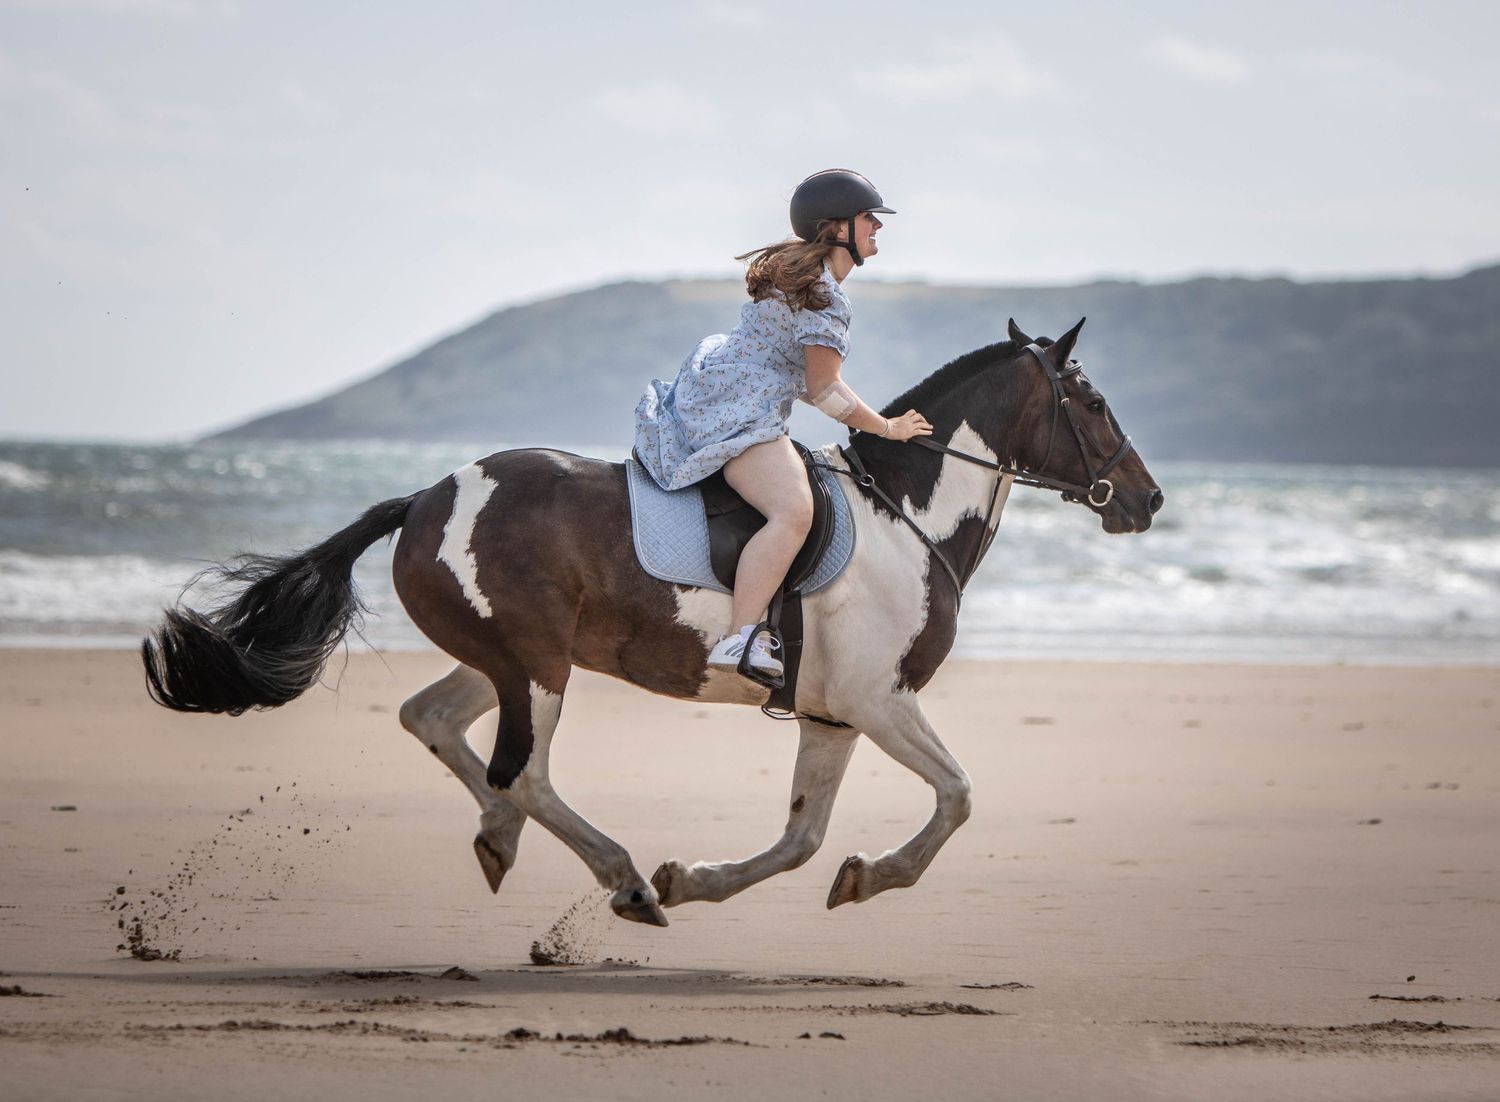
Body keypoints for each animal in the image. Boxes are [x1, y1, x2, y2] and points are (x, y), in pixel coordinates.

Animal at [142, 317, 1162, 928]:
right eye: (1094, 402)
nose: (1147, 499)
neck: (903, 516)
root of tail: (428, 498)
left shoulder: (834, 713)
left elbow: (802, 839)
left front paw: (712, 878)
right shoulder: (883, 700)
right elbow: (957, 796)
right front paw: (875, 875)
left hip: (503, 658)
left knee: (434, 722)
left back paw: (508, 838)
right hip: (538, 669)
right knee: (526, 772)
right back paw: (622, 878)